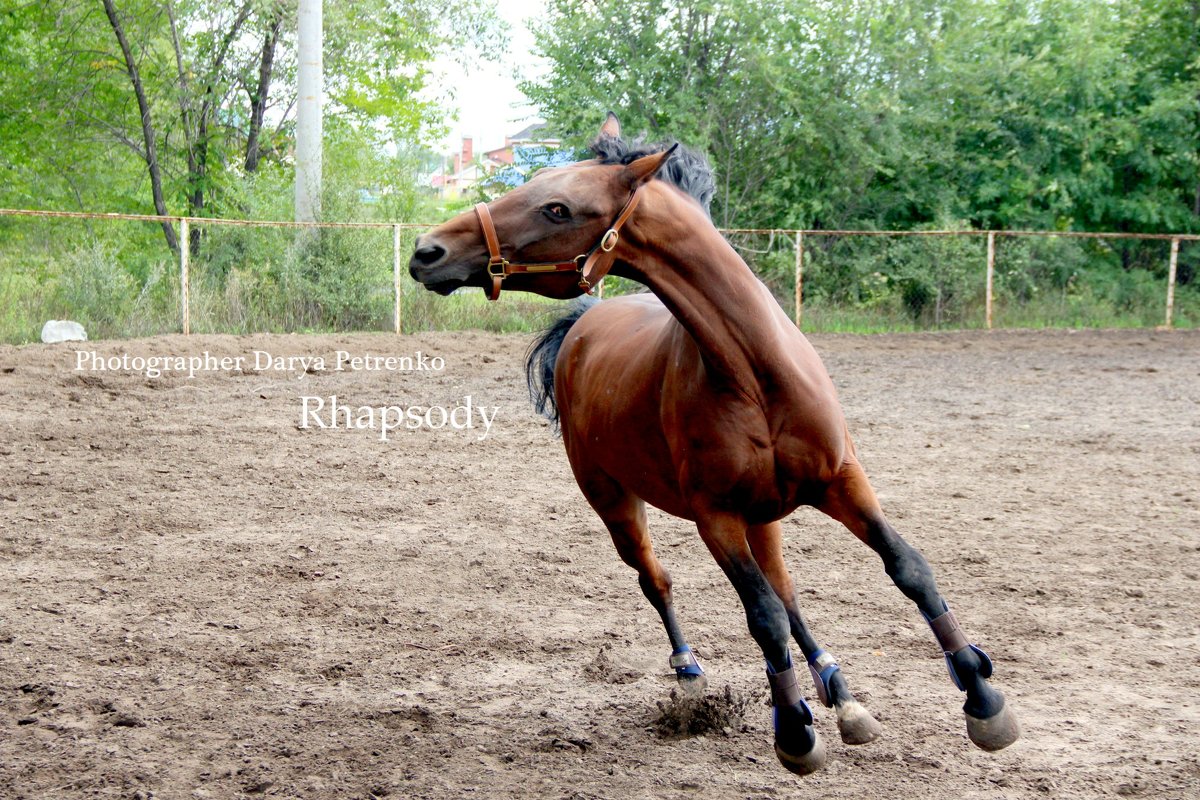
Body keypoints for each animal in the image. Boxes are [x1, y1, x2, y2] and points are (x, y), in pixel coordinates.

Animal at [408, 115, 1017, 772]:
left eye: (556, 207)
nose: (428, 251)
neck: (755, 373)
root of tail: (582, 325)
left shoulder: (842, 481)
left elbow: (906, 568)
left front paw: (982, 696)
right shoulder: (715, 518)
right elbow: (763, 619)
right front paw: (794, 730)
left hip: (765, 516)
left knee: (788, 591)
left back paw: (838, 688)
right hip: (616, 503)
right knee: (661, 581)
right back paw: (693, 672)